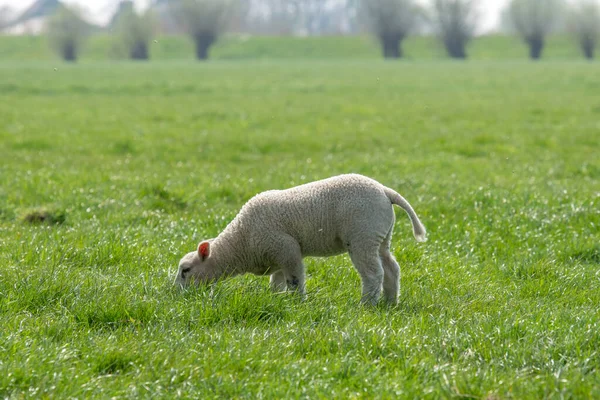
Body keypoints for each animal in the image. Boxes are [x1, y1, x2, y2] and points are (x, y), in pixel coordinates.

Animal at [173, 173, 426, 304]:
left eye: (185, 270)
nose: (175, 294)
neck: (240, 242)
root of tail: (385, 191)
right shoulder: (274, 254)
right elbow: (276, 282)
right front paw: (276, 300)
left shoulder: (287, 249)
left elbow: (295, 281)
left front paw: (298, 304)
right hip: (381, 236)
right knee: (392, 268)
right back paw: (390, 302)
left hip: (363, 236)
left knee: (374, 274)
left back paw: (366, 305)